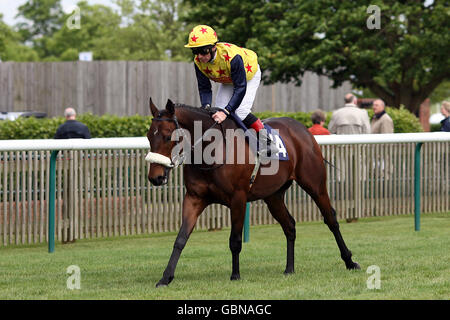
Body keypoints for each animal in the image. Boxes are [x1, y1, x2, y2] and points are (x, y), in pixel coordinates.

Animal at [146, 98, 360, 288]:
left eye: (168, 136)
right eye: (149, 136)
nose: (155, 177)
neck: (212, 151)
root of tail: (301, 128)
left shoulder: (238, 198)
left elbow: (235, 240)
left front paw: (235, 275)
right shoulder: (194, 198)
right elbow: (181, 239)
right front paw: (165, 278)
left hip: (315, 185)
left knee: (331, 219)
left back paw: (350, 261)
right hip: (273, 196)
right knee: (290, 225)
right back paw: (289, 268)